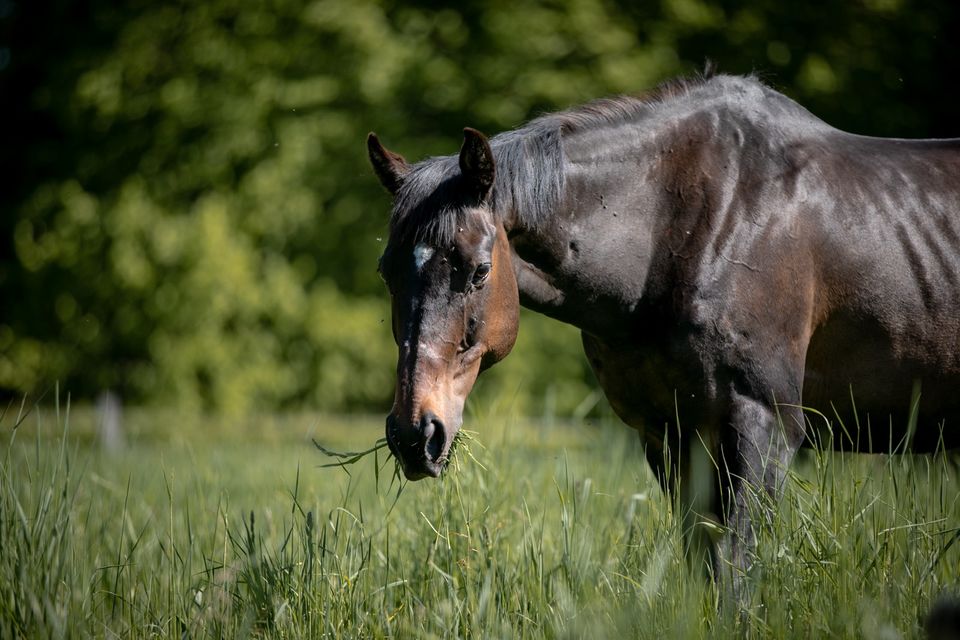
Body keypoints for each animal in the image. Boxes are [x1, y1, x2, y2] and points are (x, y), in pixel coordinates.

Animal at [366, 72, 960, 604]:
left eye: (479, 271)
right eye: (386, 272)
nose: (415, 434)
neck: (692, 226)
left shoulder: (764, 425)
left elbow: (736, 571)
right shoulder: (670, 434)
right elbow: (705, 561)